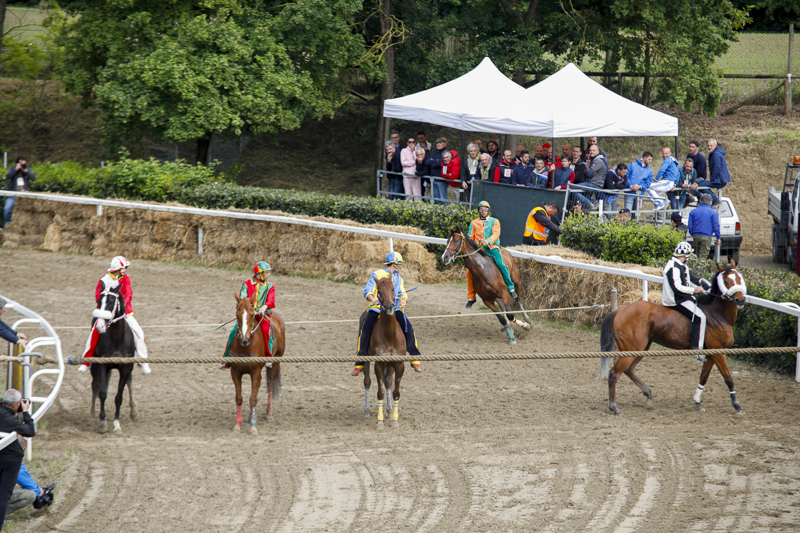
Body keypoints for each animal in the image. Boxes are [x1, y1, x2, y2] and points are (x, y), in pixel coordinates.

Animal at [90, 285, 137, 434]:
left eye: (111, 302)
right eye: (99, 301)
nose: (100, 326)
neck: (117, 338)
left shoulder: (126, 367)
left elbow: (119, 397)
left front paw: (116, 424)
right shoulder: (102, 365)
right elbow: (102, 393)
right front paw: (102, 422)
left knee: (129, 381)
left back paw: (134, 412)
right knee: (95, 384)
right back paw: (92, 412)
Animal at [229, 293, 285, 435]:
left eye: (251, 315)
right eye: (237, 315)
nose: (244, 340)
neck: (245, 347)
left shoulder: (255, 371)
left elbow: (253, 398)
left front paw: (253, 427)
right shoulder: (235, 371)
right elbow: (239, 397)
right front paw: (237, 425)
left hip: (277, 361)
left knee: (270, 384)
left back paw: (269, 414)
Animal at [358, 276, 406, 428]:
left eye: (393, 289)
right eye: (379, 291)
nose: (390, 306)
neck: (390, 335)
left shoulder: (398, 364)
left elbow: (395, 391)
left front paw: (394, 419)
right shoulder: (379, 364)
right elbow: (380, 392)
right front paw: (380, 421)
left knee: (388, 382)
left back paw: (389, 410)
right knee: (367, 381)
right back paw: (367, 410)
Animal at [597, 262, 747, 415]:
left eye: (739, 278)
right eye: (726, 281)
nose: (740, 299)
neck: (716, 314)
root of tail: (618, 311)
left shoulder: (712, 354)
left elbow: (703, 377)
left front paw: (697, 401)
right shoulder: (718, 352)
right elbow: (728, 378)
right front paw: (737, 405)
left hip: (641, 349)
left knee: (629, 370)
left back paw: (648, 394)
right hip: (632, 350)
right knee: (614, 373)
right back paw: (614, 406)